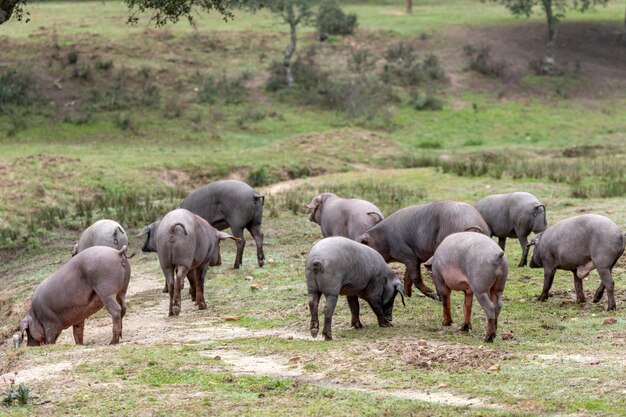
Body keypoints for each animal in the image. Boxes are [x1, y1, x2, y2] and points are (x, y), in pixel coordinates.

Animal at [356, 200, 488, 298]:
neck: (384, 238)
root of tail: (471, 225)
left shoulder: (407, 254)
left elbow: (415, 277)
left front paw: (431, 294)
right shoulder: (414, 258)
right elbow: (407, 276)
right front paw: (407, 295)